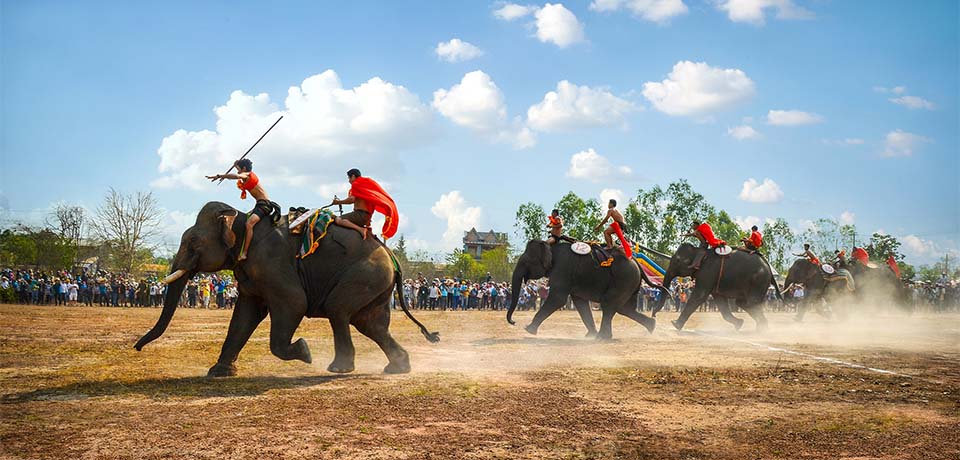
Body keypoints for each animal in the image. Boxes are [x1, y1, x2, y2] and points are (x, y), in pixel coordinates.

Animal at [132, 201, 438, 378]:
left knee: (339, 310)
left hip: (366, 273)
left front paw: (304, 351)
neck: (244, 218)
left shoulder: (273, 263)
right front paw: (218, 372)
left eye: (193, 241)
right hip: (376, 284)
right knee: (370, 323)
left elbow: (294, 303)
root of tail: (392, 257)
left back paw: (338, 368)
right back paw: (397, 367)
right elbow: (244, 316)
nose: (136, 347)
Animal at [506, 239, 672, 340]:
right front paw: (589, 334)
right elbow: (580, 302)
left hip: (624, 280)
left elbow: (558, 298)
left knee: (609, 304)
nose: (514, 322)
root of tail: (637, 263)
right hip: (630, 283)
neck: (550, 245)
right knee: (624, 309)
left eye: (526, 262)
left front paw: (528, 329)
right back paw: (651, 326)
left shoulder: (562, 268)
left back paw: (602, 337)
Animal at [656, 244, 784, 330]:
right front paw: (739, 324)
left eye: (677, 261)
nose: (654, 315)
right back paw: (760, 327)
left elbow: (699, 296)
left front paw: (675, 324)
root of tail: (769, 268)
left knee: (751, 303)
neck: (701, 251)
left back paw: (761, 330)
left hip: (758, 281)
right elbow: (721, 302)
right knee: (743, 303)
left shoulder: (707, 272)